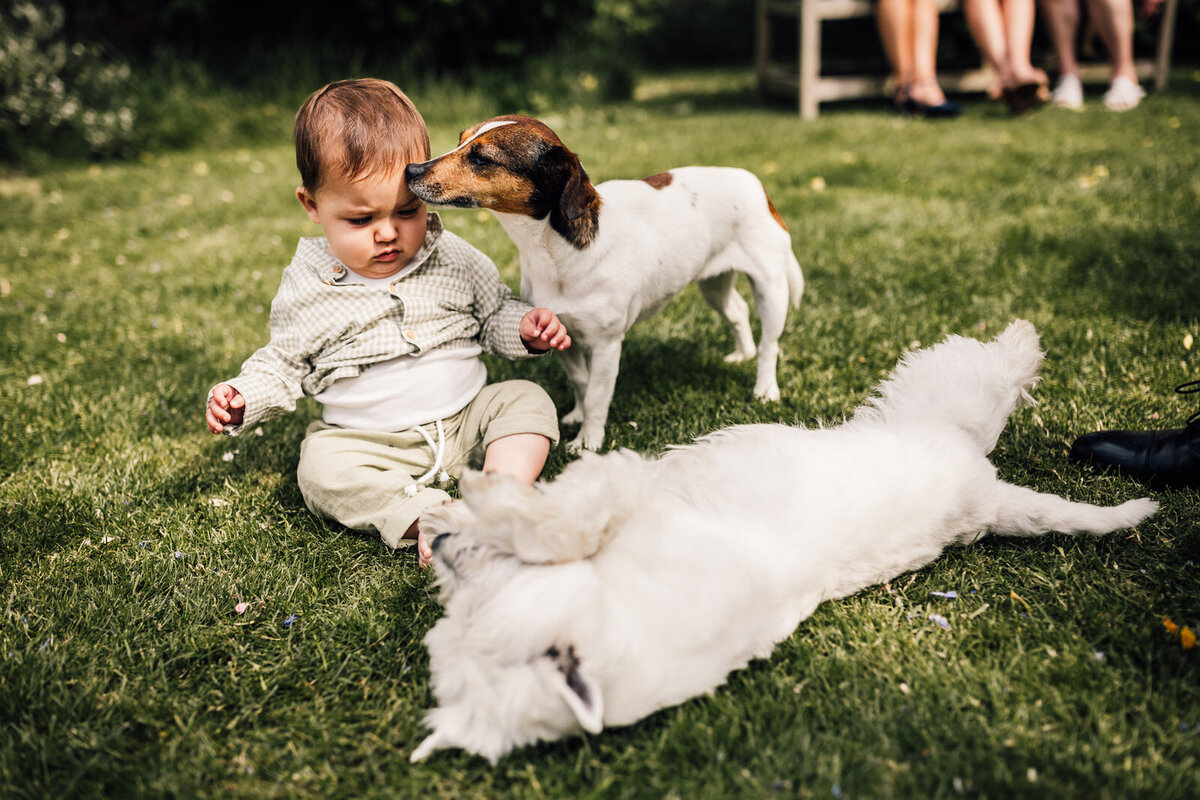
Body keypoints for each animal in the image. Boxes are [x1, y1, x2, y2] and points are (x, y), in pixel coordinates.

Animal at [410, 319, 1152, 762]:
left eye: (487, 608)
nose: (444, 555)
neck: (626, 618)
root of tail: (988, 496)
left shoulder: (621, 489)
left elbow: (558, 524)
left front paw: (478, 505)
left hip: (939, 399)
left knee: (989, 372)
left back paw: (1023, 338)